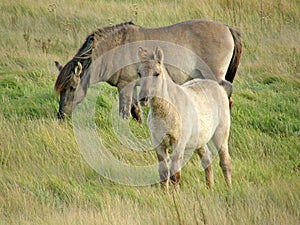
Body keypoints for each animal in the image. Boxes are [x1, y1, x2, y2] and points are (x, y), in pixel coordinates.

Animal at [54, 19, 241, 121]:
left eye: (72, 87)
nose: (61, 116)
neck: (116, 47)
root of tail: (227, 28)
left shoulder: (125, 86)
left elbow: (124, 111)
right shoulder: (131, 85)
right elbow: (135, 110)